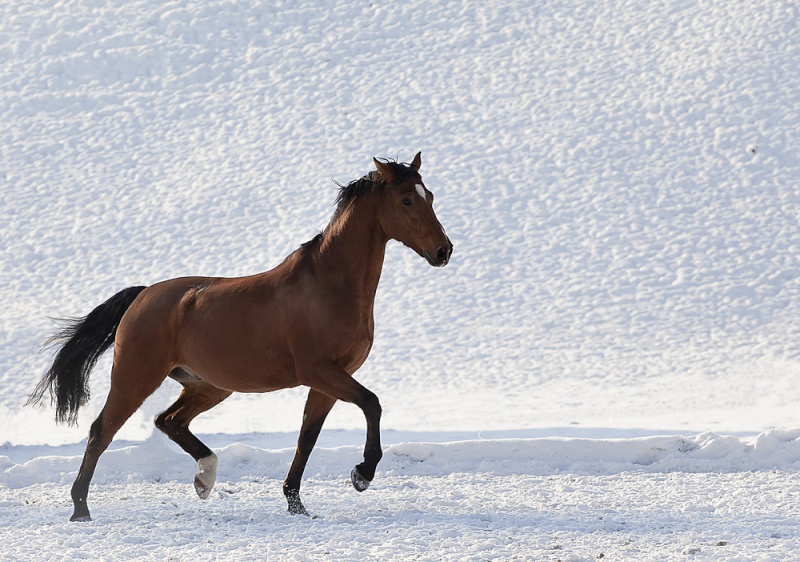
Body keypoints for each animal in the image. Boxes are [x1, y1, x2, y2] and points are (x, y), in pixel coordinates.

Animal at [28, 151, 454, 520]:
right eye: (406, 200)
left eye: (429, 196)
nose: (443, 251)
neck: (329, 286)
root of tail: (144, 295)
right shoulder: (319, 371)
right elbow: (371, 404)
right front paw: (362, 474)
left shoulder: (328, 380)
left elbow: (307, 437)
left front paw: (296, 504)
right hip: (136, 377)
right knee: (102, 431)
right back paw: (80, 509)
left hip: (209, 386)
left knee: (169, 421)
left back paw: (205, 478)